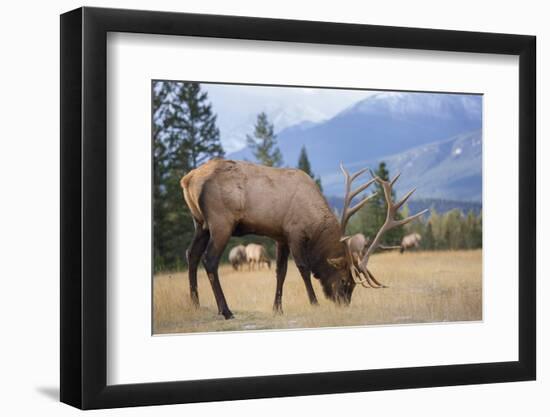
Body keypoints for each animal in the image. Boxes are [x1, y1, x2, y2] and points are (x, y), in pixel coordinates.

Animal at [181, 158, 426, 316]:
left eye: (353, 287)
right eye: (345, 282)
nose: (343, 304)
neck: (315, 222)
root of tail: (188, 179)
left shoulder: (280, 236)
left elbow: (280, 272)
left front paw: (277, 308)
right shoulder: (295, 232)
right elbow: (303, 268)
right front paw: (314, 302)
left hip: (200, 223)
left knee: (191, 254)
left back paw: (195, 304)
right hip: (220, 222)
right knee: (209, 260)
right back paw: (225, 310)